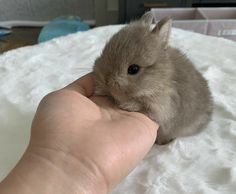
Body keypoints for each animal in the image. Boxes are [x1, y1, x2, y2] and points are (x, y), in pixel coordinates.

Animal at [93, 11, 213, 144]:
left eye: (133, 69)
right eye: (104, 52)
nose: (106, 80)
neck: (159, 78)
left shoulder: (161, 106)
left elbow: (141, 106)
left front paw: (127, 105)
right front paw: (101, 90)